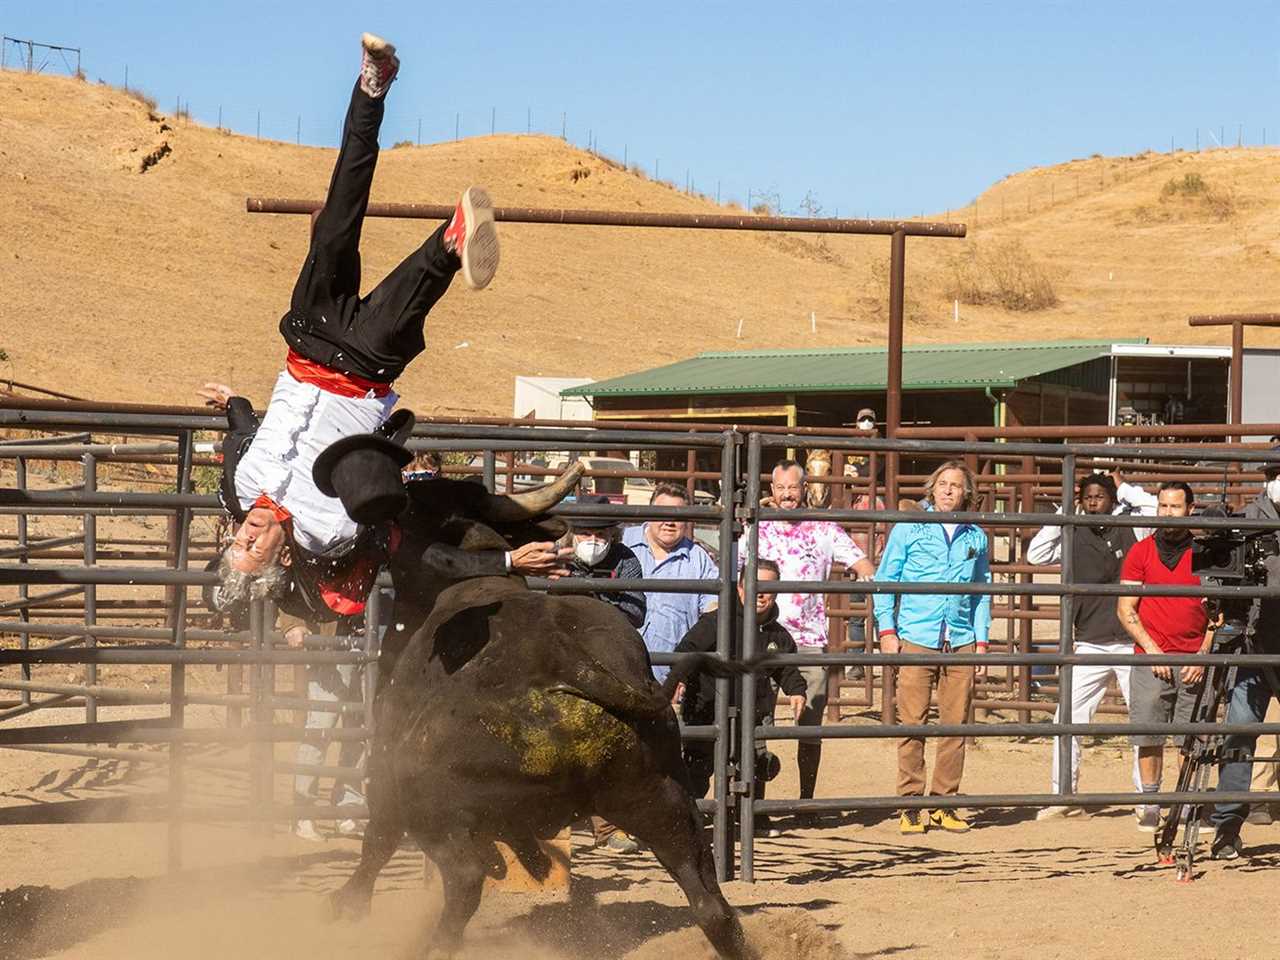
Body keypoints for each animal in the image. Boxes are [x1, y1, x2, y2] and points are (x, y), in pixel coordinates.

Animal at [327, 476, 757, 960]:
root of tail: (569, 662)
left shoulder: (384, 769)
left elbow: (377, 840)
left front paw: (346, 904)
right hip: (662, 798)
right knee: (710, 904)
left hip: (429, 805)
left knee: (463, 877)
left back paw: (433, 943)